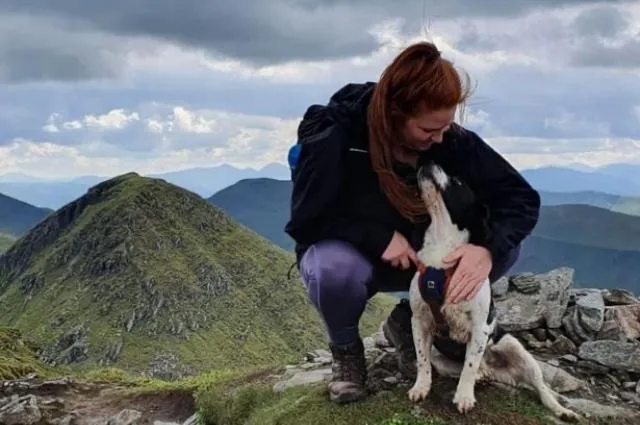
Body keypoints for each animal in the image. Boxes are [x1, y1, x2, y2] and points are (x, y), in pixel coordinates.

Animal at [410, 160, 580, 420]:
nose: (427, 160)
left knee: (540, 386)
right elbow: (422, 359)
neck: (442, 249)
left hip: (517, 349)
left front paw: (464, 397)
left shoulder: (480, 326)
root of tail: (493, 368)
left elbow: (469, 366)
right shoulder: (419, 319)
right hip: (443, 359)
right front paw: (421, 386)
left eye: (457, 181)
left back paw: (561, 410)